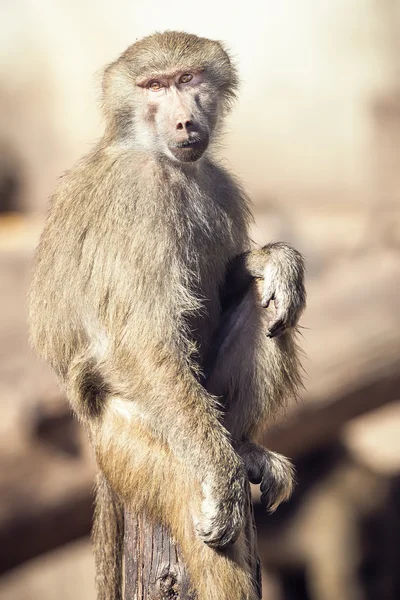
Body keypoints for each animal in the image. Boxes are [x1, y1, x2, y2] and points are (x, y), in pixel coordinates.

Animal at [29, 31, 304, 600]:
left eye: (187, 79)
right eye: (153, 86)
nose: (183, 122)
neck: (167, 161)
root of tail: (92, 435)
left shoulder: (219, 183)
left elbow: (237, 283)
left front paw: (276, 260)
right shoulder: (140, 195)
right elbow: (144, 341)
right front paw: (225, 486)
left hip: (204, 405)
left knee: (267, 306)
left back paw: (244, 448)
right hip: (134, 443)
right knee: (199, 513)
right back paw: (227, 472)